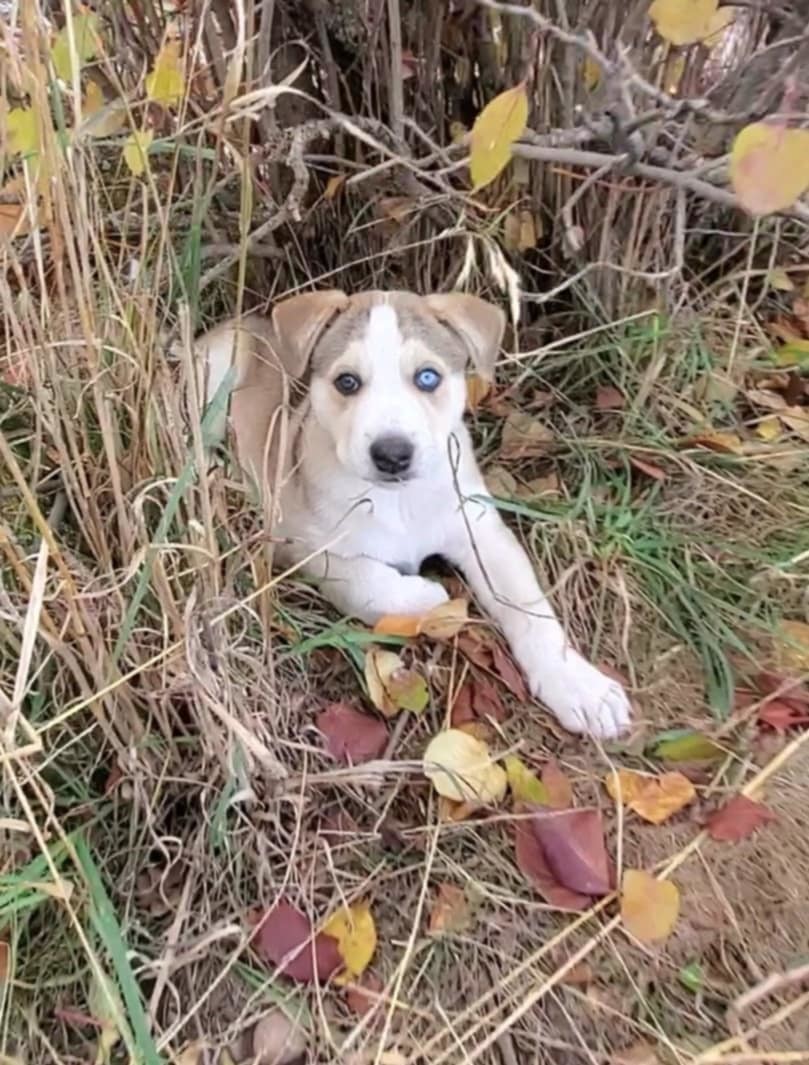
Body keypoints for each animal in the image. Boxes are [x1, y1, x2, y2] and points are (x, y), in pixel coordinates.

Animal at [194, 291, 630, 741]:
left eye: (427, 378)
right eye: (347, 382)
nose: (392, 455)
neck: (400, 501)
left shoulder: (481, 532)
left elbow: (530, 608)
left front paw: (579, 685)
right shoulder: (298, 544)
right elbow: (367, 583)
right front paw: (430, 597)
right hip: (214, 368)